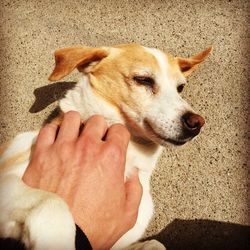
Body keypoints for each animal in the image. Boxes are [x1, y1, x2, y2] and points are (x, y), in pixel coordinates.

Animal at [0, 44, 212, 249]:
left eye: (180, 88)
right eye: (143, 80)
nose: (196, 123)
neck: (131, 156)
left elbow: (156, 244)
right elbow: (54, 201)